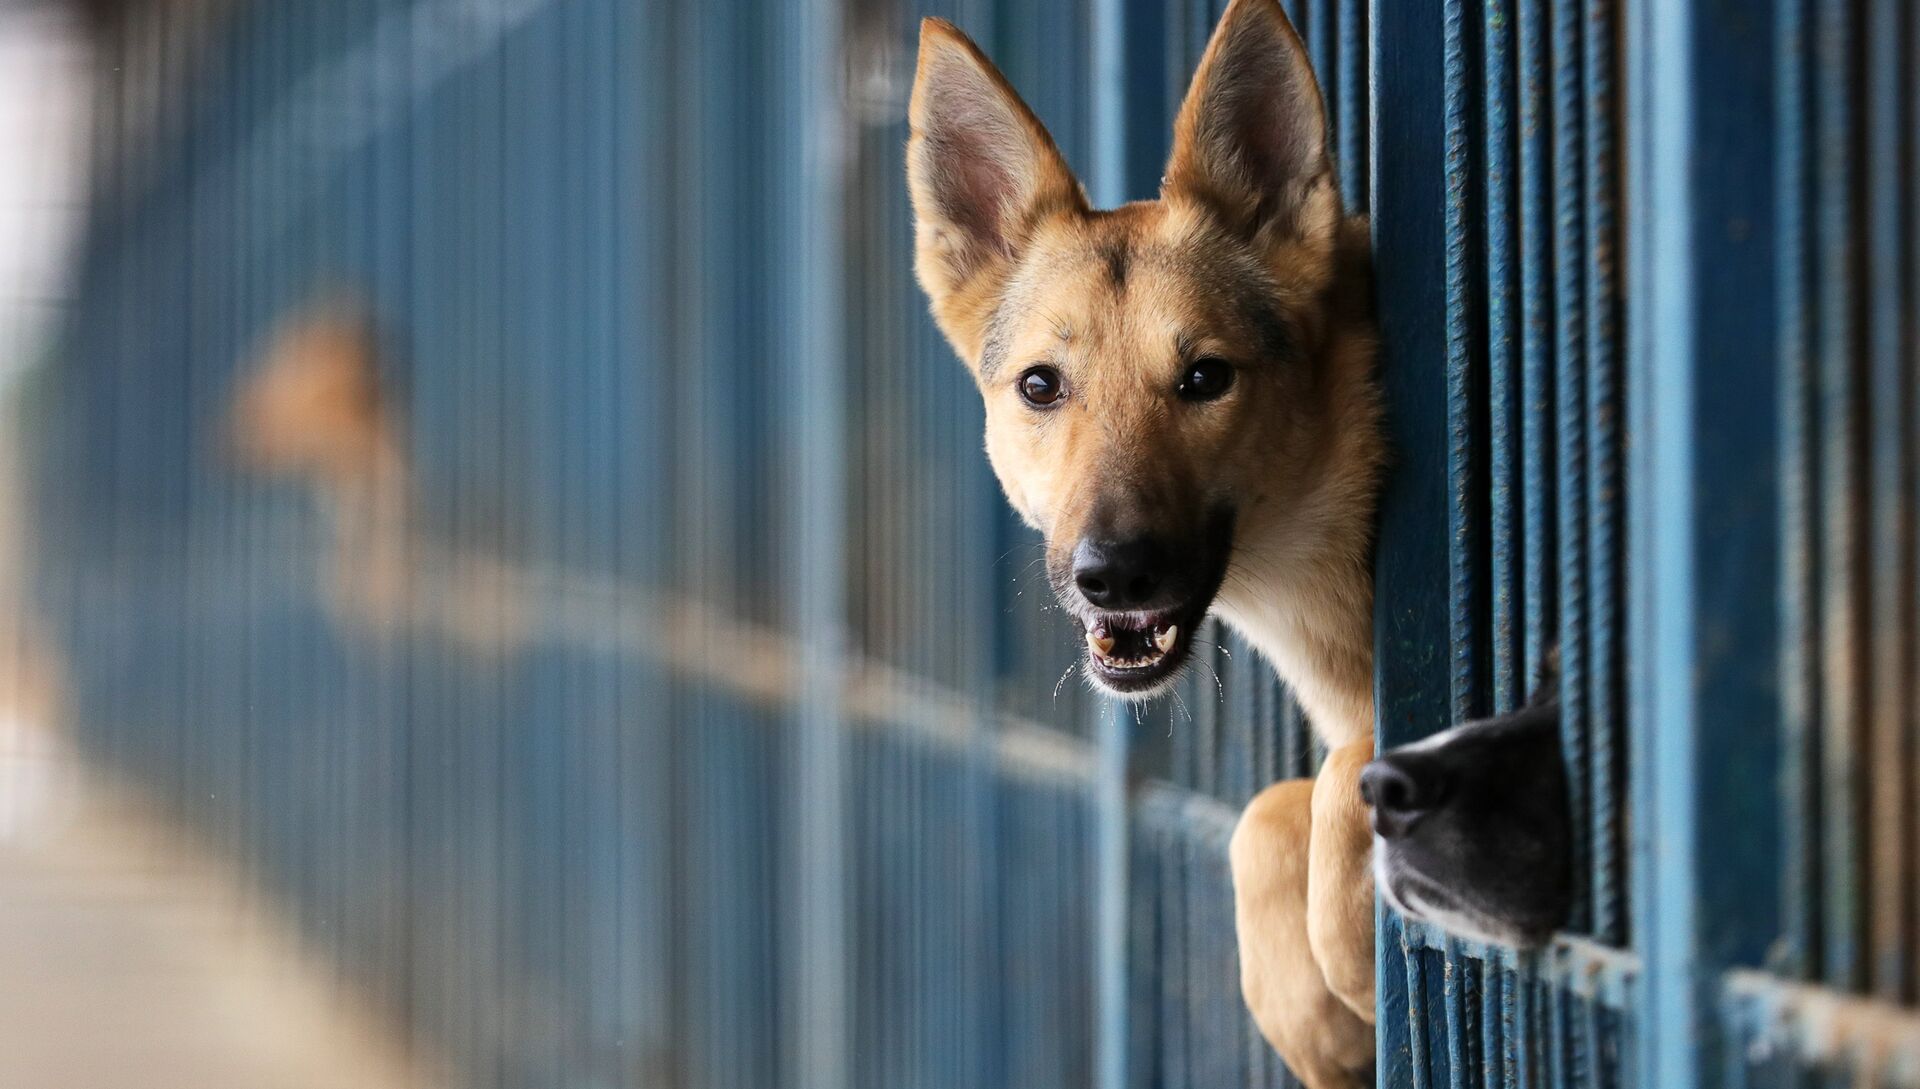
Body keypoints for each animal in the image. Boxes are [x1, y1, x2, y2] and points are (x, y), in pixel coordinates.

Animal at [906, 4, 1390, 1083]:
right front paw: (1322, 1013)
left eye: (1206, 377)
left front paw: (1359, 963)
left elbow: (1346, 776)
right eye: (1040, 386)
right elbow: (1266, 818)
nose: (1113, 574)